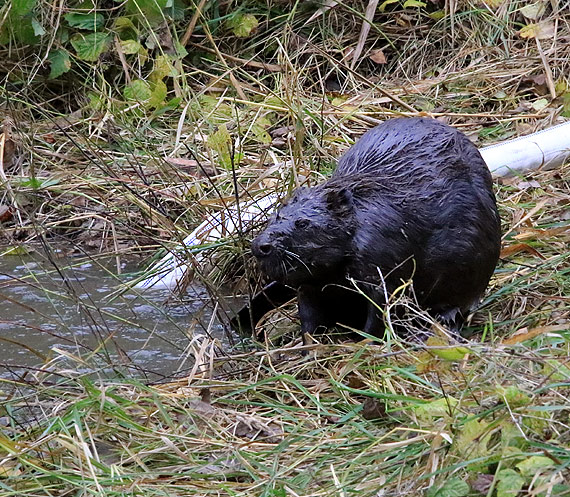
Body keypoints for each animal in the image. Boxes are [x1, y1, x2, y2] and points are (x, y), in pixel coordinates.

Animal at [248, 116, 496, 336]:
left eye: (302, 223)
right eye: (276, 215)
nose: (260, 246)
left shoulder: (379, 258)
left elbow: (381, 307)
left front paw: (363, 341)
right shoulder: (311, 281)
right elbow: (309, 310)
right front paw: (310, 343)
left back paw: (444, 322)